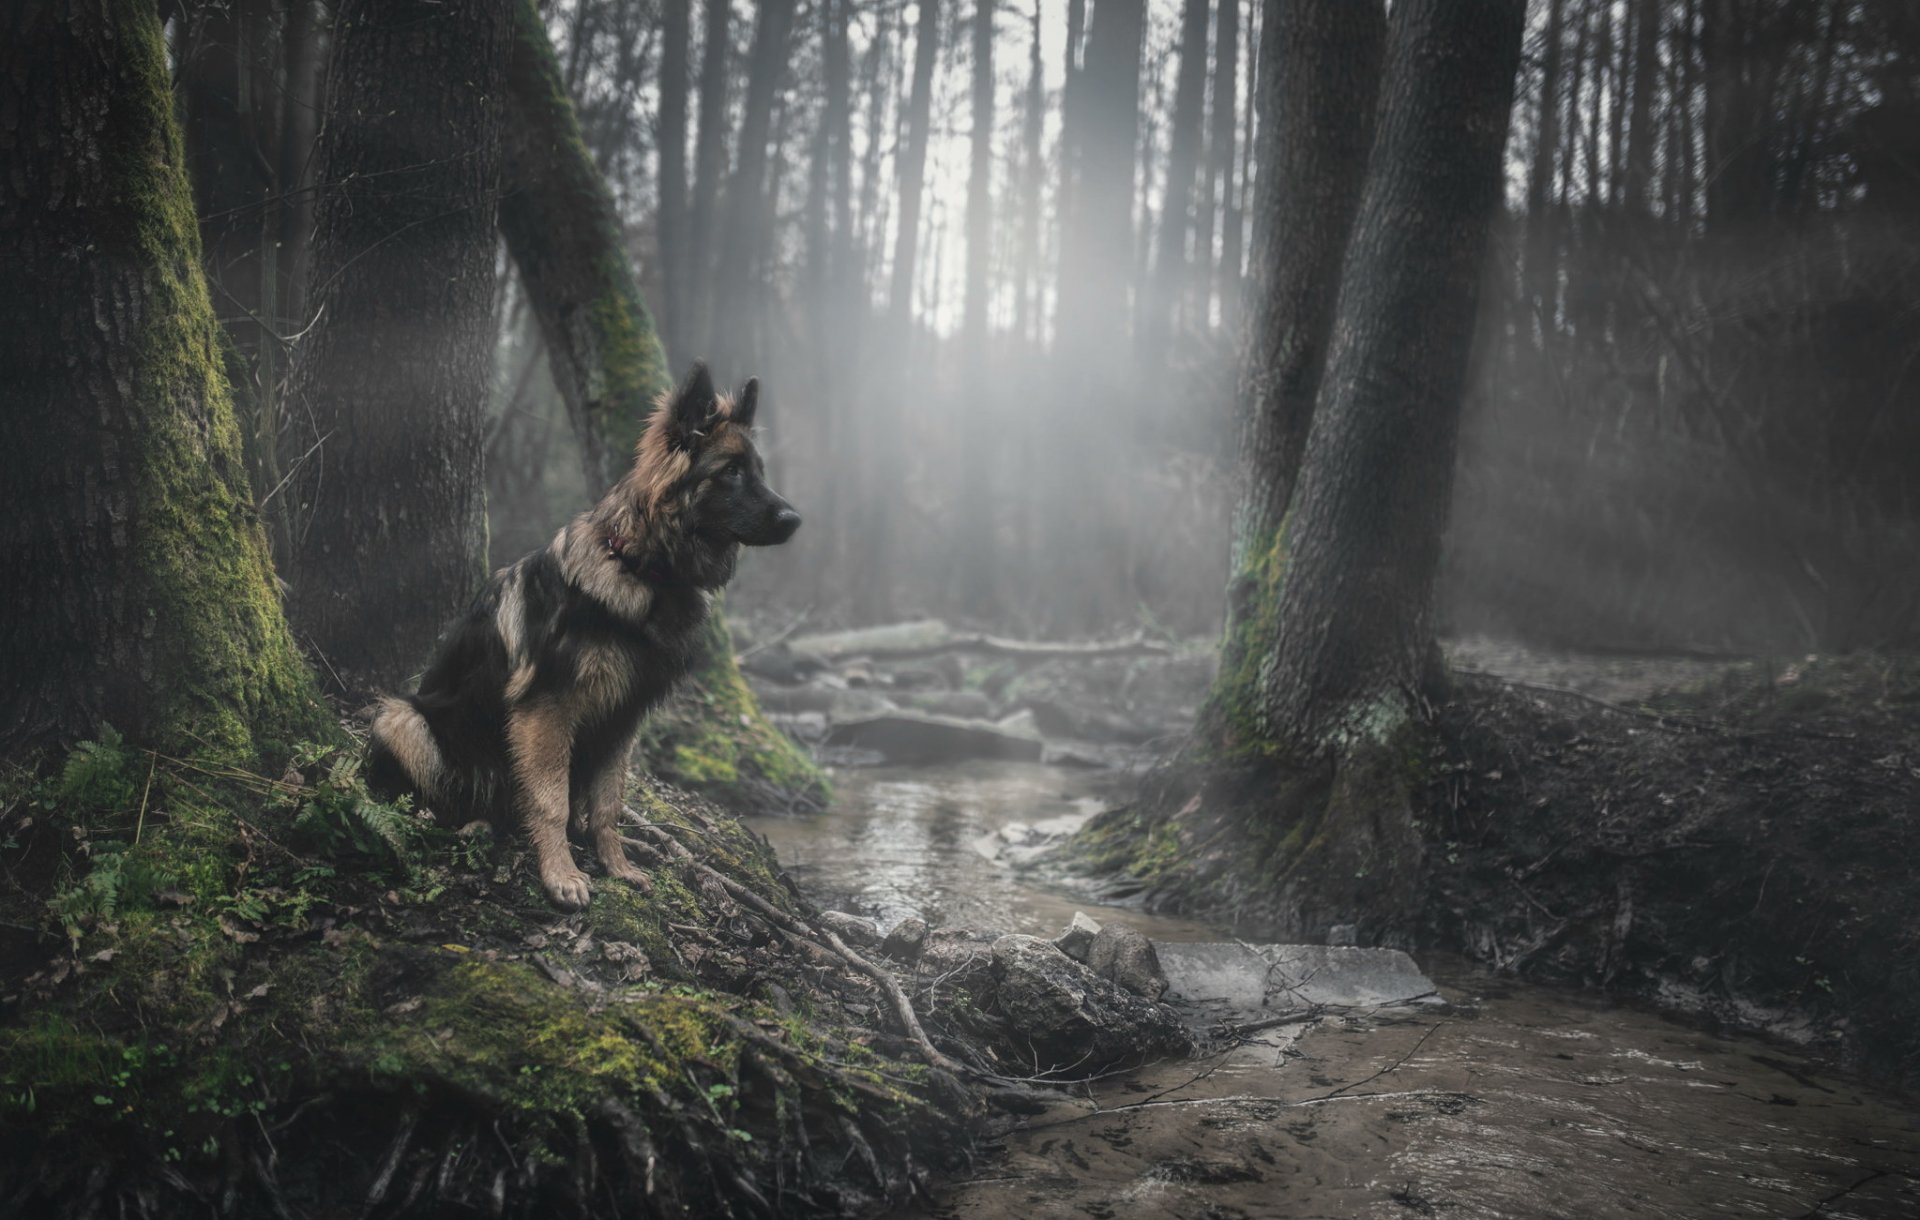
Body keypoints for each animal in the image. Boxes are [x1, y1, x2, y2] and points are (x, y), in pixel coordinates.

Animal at [366, 366, 794, 910]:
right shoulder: (546, 709)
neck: (640, 568)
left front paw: (617, 866)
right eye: (732, 472)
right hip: (403, 718)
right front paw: (561, 874)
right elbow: (551, 801)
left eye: (757, 470)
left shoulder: (623, 717)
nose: (794, 520)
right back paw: (466, 823)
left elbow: (608, 803)